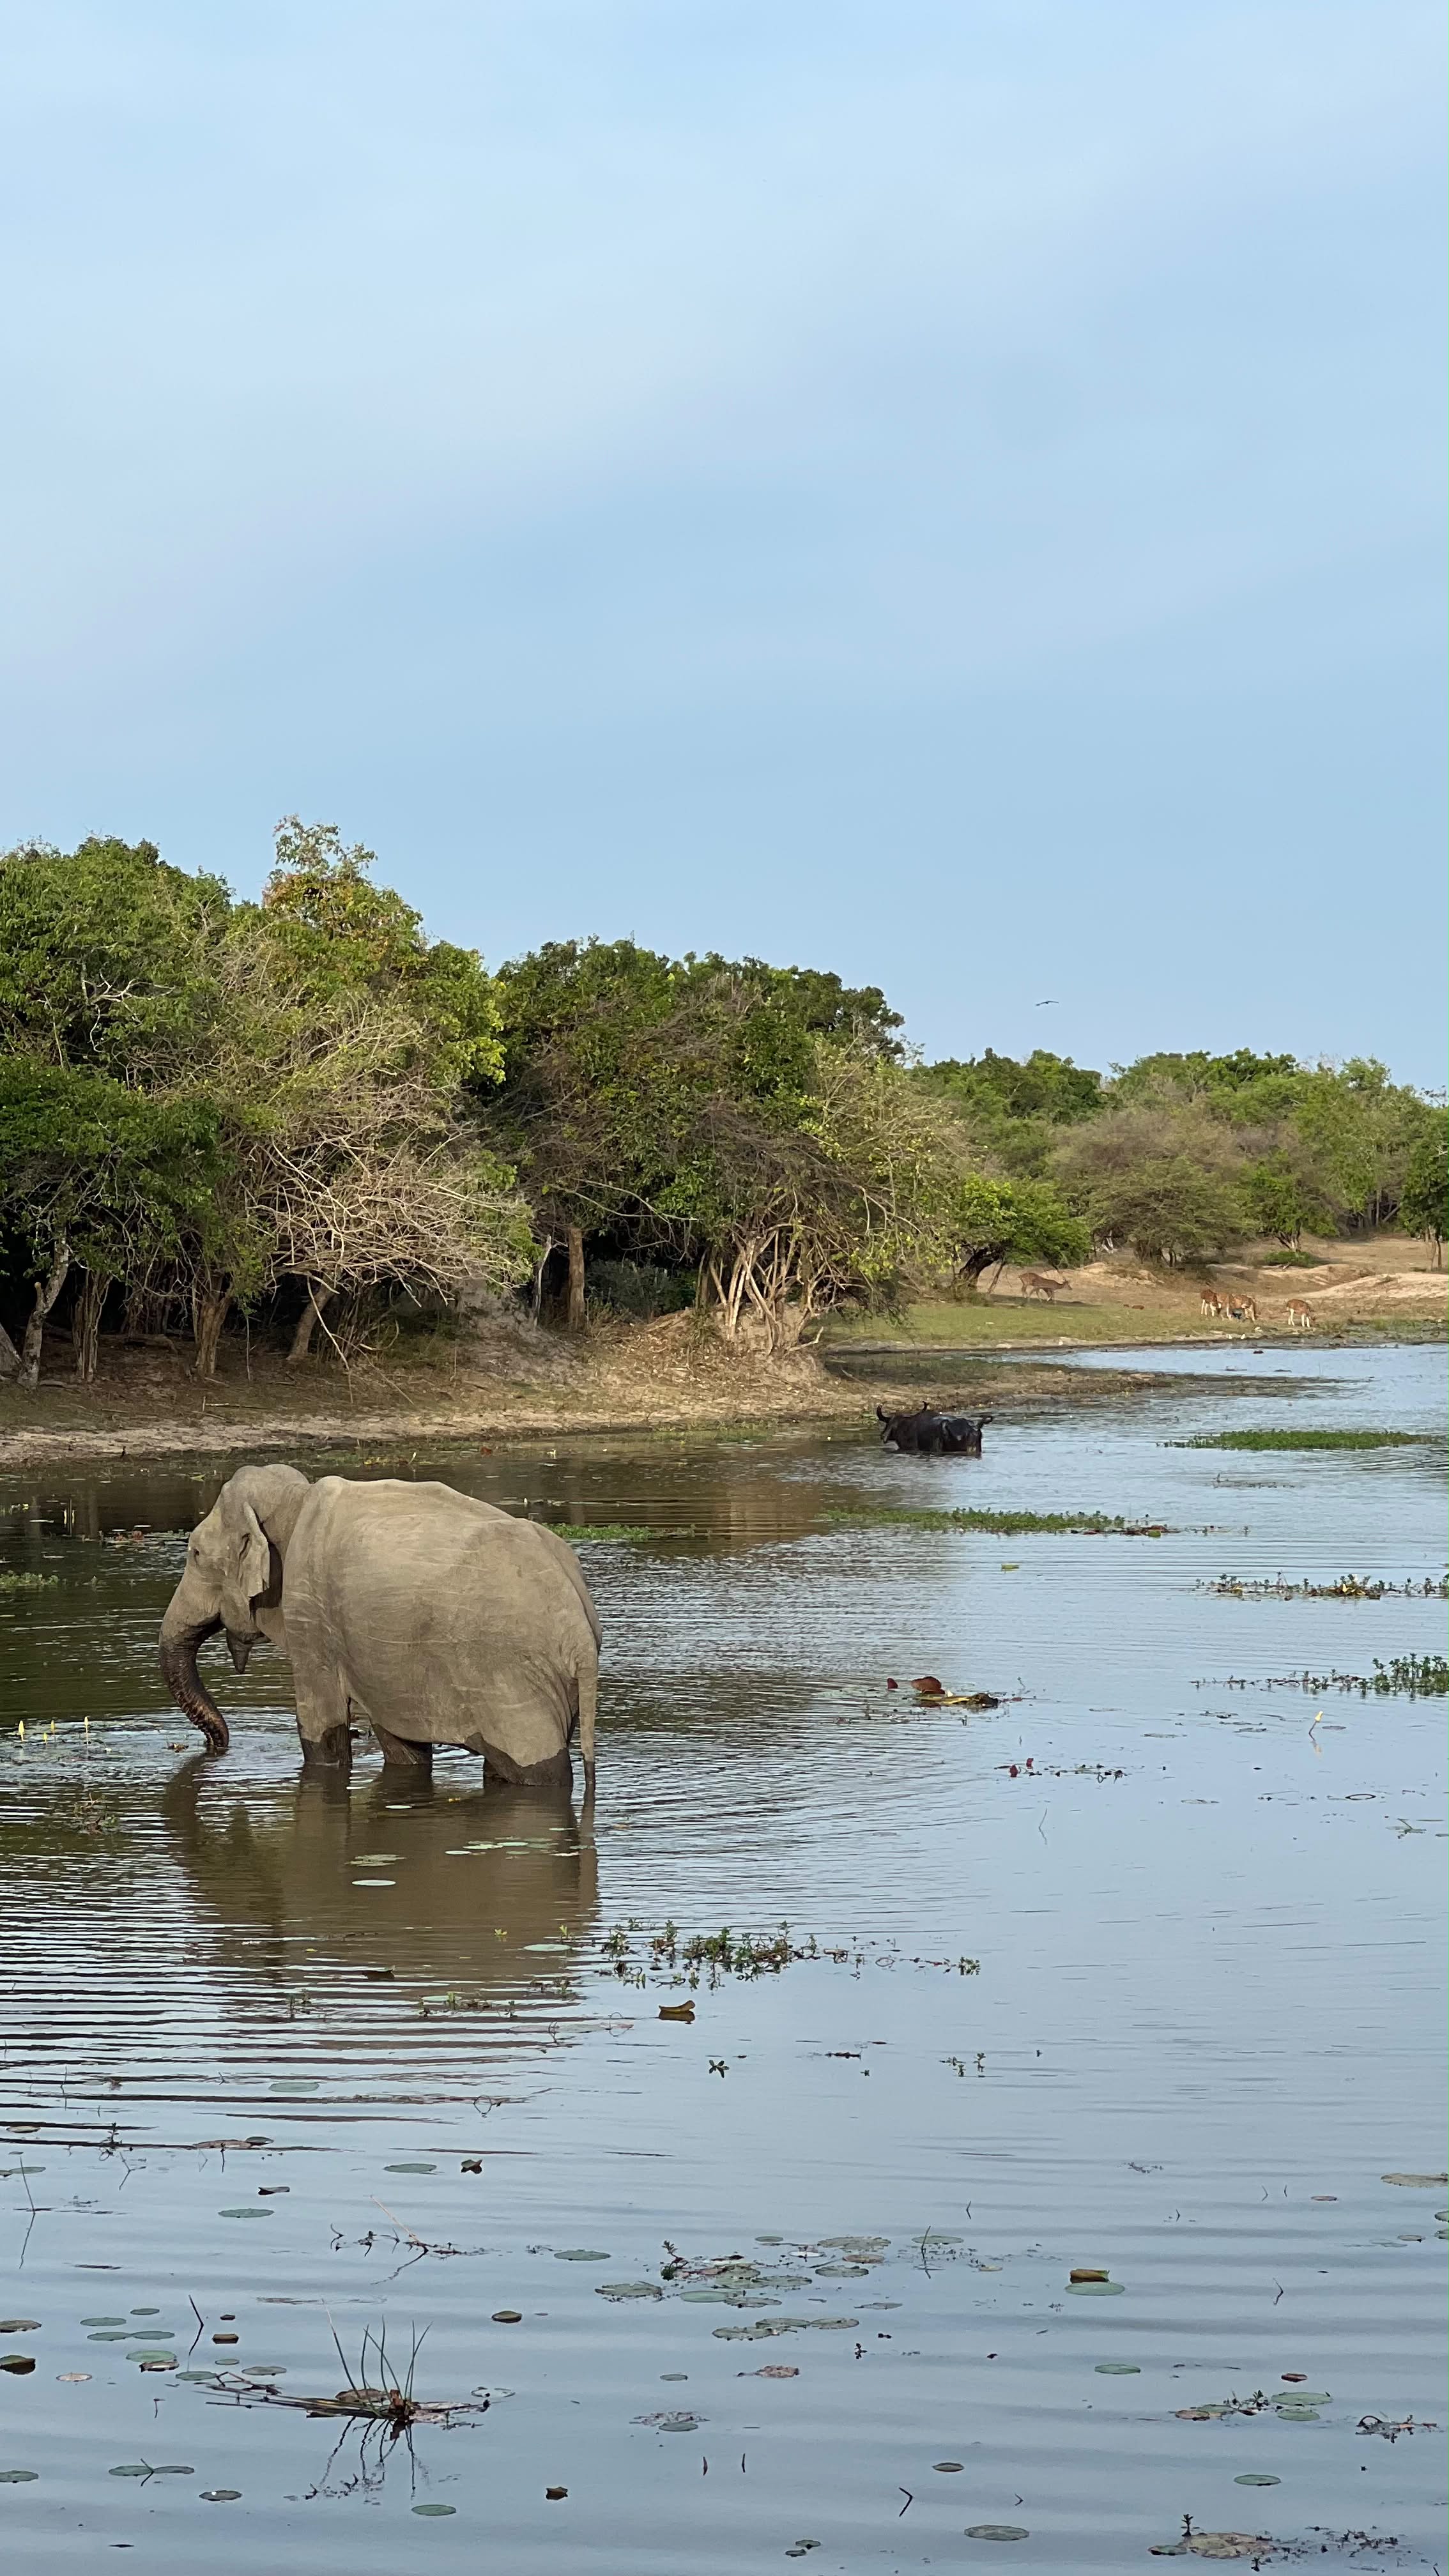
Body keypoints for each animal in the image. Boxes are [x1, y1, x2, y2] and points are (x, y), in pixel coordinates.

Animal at [158, 1463, 600, 1790]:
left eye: (195, 1554)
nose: (215, 1750)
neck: (297, 1502)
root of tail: (579, 1629)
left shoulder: (309, 1613)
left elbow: (322, 1728)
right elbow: (400, 1742)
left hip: (511, 1682)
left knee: (539, 1773)